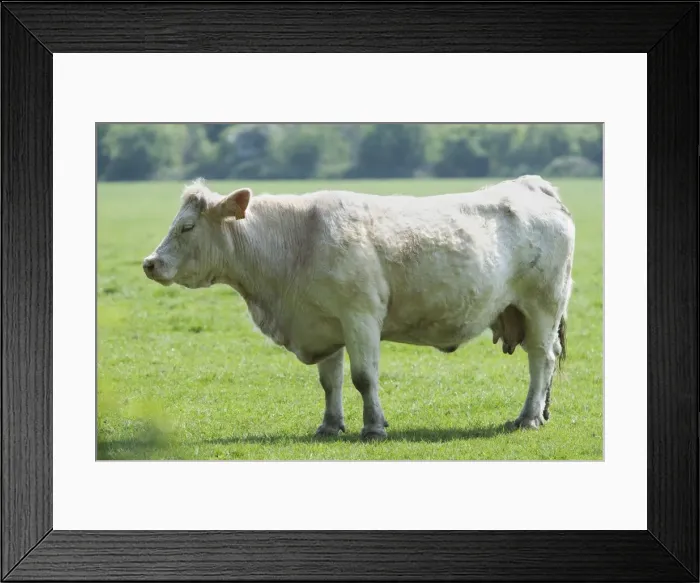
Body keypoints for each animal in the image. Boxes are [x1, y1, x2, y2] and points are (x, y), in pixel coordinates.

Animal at [142, 175, 574, 441]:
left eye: (187, 227)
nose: (150, 263)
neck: (296, 243)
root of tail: (533, 185)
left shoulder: (360, 318)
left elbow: (364, 377)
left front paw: (374, 427)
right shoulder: (323, 323)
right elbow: (329, 381)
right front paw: (330, 425)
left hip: (542, 305)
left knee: (541, 359)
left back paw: (529, 416)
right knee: (547, 359)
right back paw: (543, 412)